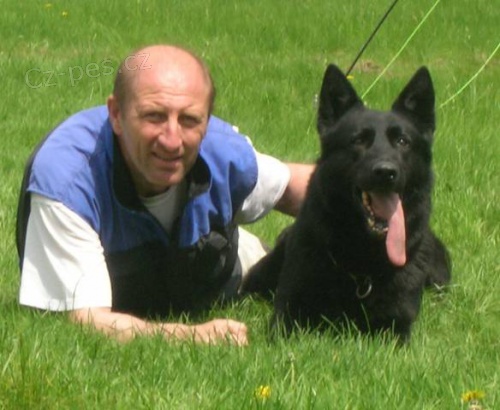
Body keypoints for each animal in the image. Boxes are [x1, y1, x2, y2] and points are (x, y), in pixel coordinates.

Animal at [241, 64, 451, 342]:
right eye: (358, 140)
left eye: (403, 142)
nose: (386, 172)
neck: (361, 265)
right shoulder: (286, 314)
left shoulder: (396, 328)